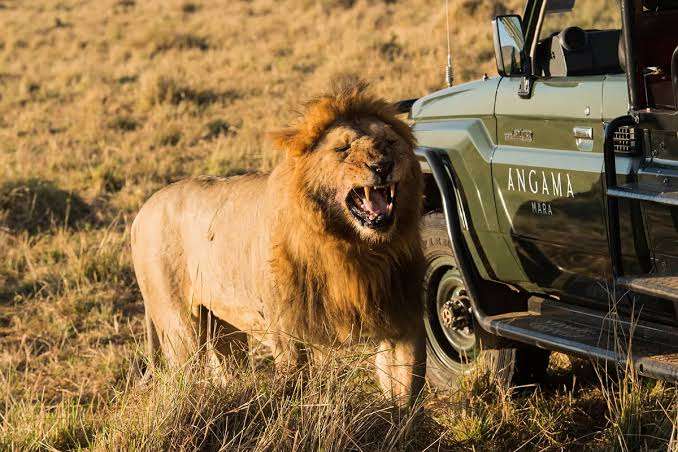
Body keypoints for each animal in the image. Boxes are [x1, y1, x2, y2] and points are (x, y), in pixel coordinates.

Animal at [131, 77, 425, 404]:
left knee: (227, 369)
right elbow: (299, 389)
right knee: (183, 375)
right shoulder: (290, 333)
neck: (356, 248)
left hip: (223, 327)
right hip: (180, 328)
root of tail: (143, 211)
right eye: (343, 148)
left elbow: (407, 393)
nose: (382, 166)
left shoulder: (403, 318)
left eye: (390, 143)